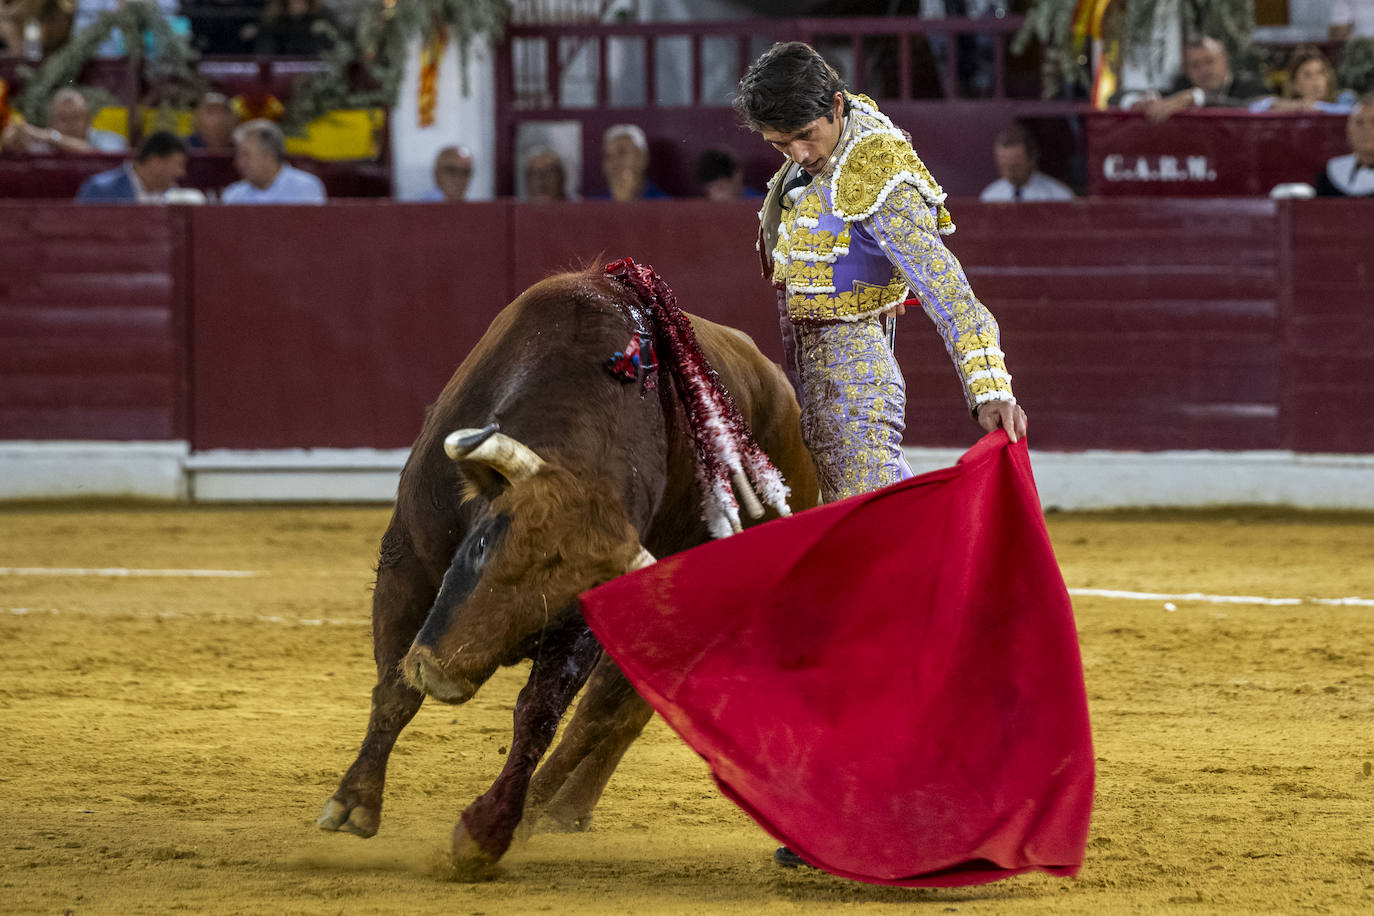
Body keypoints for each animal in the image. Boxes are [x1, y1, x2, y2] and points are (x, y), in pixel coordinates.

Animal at [316, 266, 818, 873]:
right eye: (481, 543)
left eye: (558, 601)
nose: (442, 674)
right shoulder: (406, 560)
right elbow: (394, 686)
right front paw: (353, 805)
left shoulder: (581, 622)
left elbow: (538, 715)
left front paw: (484, 834)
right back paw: (561, 810)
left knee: (607, 712)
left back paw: (537, 811)